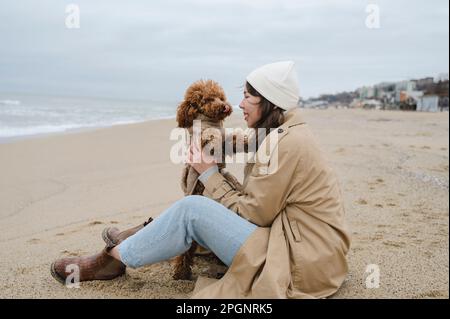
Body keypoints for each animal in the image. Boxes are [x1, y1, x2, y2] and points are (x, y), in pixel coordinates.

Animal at [172, 79, 246, 280]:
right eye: (207, 99)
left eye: (220, 97)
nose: (225, 106)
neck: (209, 120)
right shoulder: (201, 140)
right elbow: (210, 136)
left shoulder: (225, 142)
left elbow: (231, 139)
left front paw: (246, 140)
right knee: (185, 251)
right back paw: (181, 273)